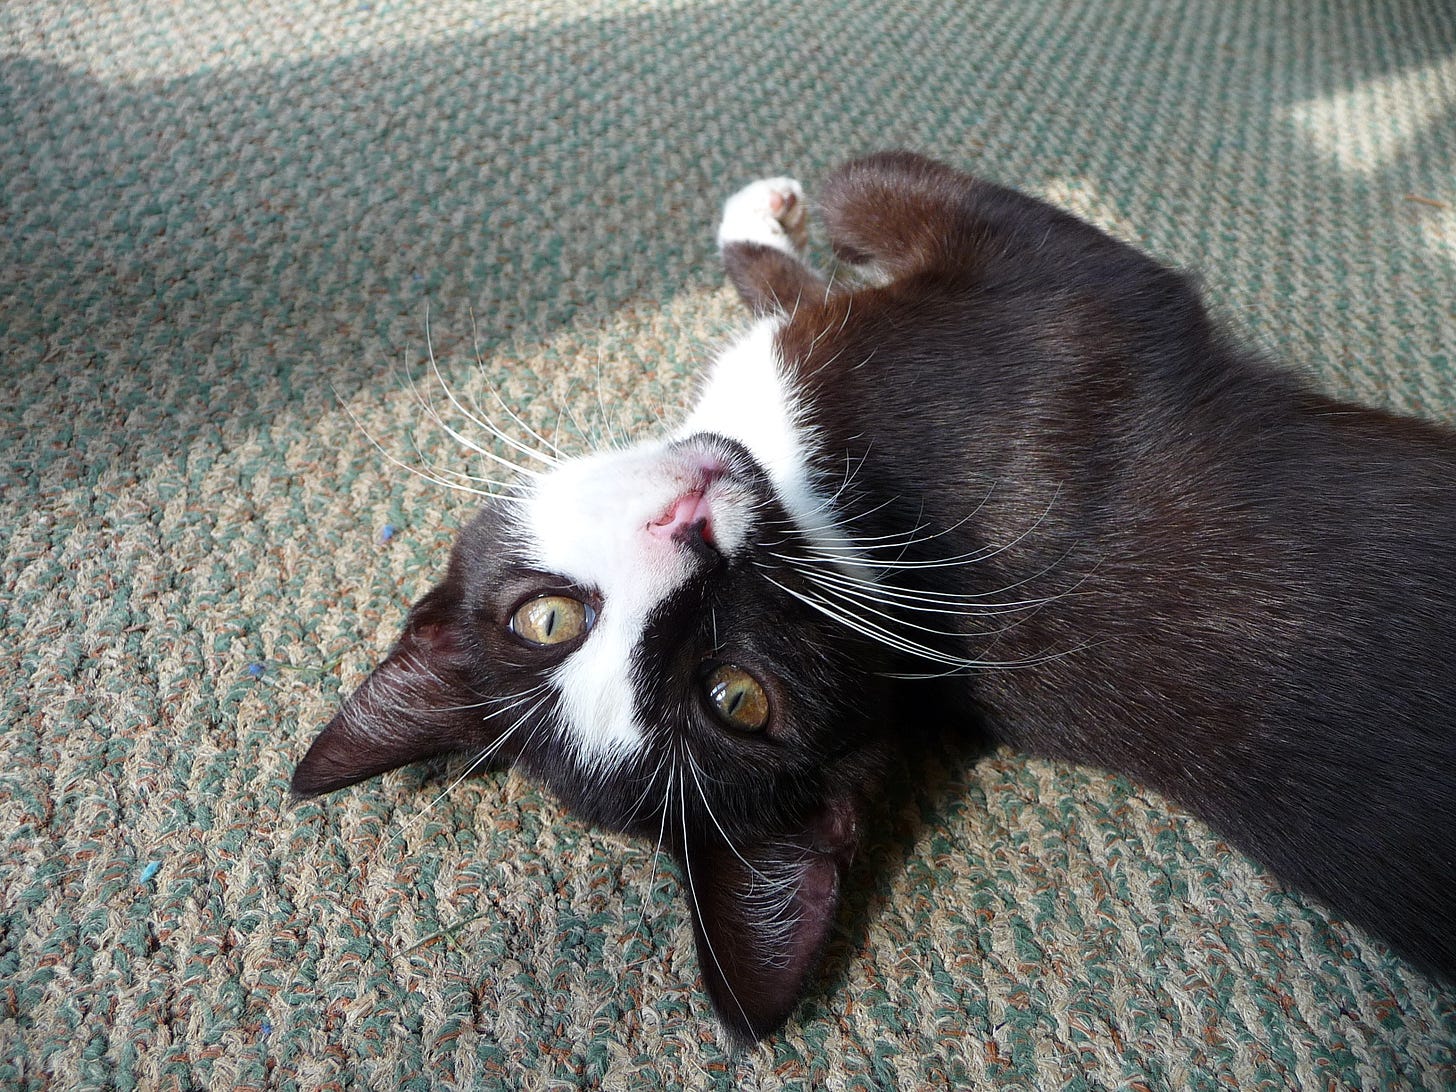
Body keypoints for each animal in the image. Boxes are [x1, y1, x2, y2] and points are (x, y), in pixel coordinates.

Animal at [292, 151, 1456, 1044]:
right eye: (739, 698)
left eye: (543, 618)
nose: (690, 536)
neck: (817, 509)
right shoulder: (1070, 306)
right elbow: (873, 196)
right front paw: (780, 205)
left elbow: (811, 245)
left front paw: (765, 216)